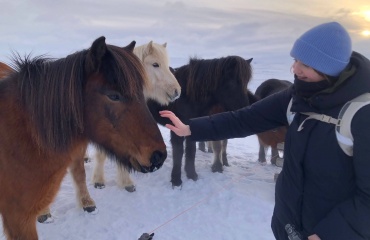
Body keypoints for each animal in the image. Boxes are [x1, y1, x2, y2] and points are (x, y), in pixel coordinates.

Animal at [147, 55, 254, 188]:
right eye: (234, 82)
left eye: (246, 82)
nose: (246, 108)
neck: (187, 95)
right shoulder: (176, 129)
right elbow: (179, 153)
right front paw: (176, 180)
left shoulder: (189, 128)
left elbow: (191, 151)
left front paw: (191, 175)